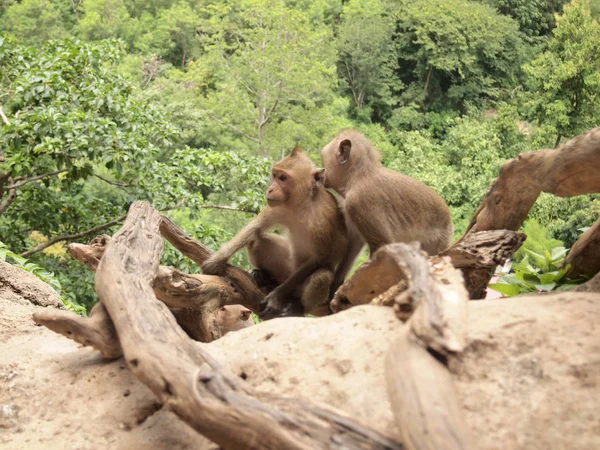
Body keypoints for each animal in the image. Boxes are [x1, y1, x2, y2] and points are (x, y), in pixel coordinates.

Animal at [202, 148, 360, 320]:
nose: (270, 189)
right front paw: (215, 261)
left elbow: (320, 257)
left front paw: (276, 297)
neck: (300, 206)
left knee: (322, 276)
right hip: (284, 268)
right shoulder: (278, 206)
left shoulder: (324, 221)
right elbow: (254, 228)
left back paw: (297, 305)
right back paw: (265, 277)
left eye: (283, 178)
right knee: (256, 241)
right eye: (275, 175)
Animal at [322, 129, 452, 256]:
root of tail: (448, 219)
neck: (357, 176)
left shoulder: (359, 202)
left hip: (440, 240)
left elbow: (382, 244)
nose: (323, 174)